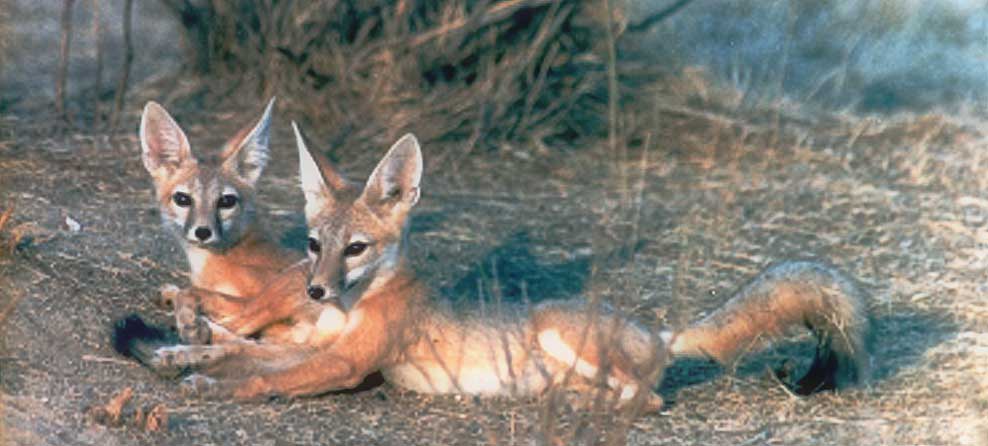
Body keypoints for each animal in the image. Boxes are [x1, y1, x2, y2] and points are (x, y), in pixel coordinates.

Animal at [118, 129, 871, 408]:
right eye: (312, 244)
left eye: (355, 249)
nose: (315, 289)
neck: (357, 306)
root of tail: (658, 331)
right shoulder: (315, 342)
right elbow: (238, 352)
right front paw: (182, 355)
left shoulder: (346, 364)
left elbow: (258, 376)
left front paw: (207, 381)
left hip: (557, 331)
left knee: (646, 399)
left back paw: (570, 404)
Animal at [131, 99, 324, 348]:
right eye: (182, 199)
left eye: (226, 201)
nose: (203, 232)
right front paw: (173, 297)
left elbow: (194, 294)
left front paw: (189, 320)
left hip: (288, 283)